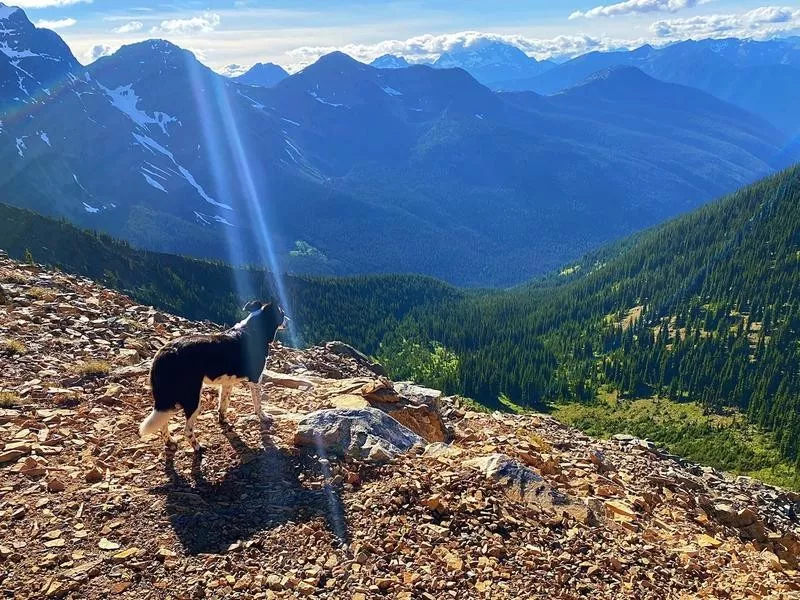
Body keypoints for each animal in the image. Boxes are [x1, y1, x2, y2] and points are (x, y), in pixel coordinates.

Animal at [140, 302, 288, 452]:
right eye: (281, 312)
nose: (288, 320)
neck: (254, 331)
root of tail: (165, 352)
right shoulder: (255, 379)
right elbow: (258, 403)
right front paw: (264, 417)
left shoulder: (227, 383)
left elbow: (223, 405)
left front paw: (223, 421)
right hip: (192, 397)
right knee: (186, 430)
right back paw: (197, 447)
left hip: (168, 397)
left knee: (163, 421)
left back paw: (170, 442)